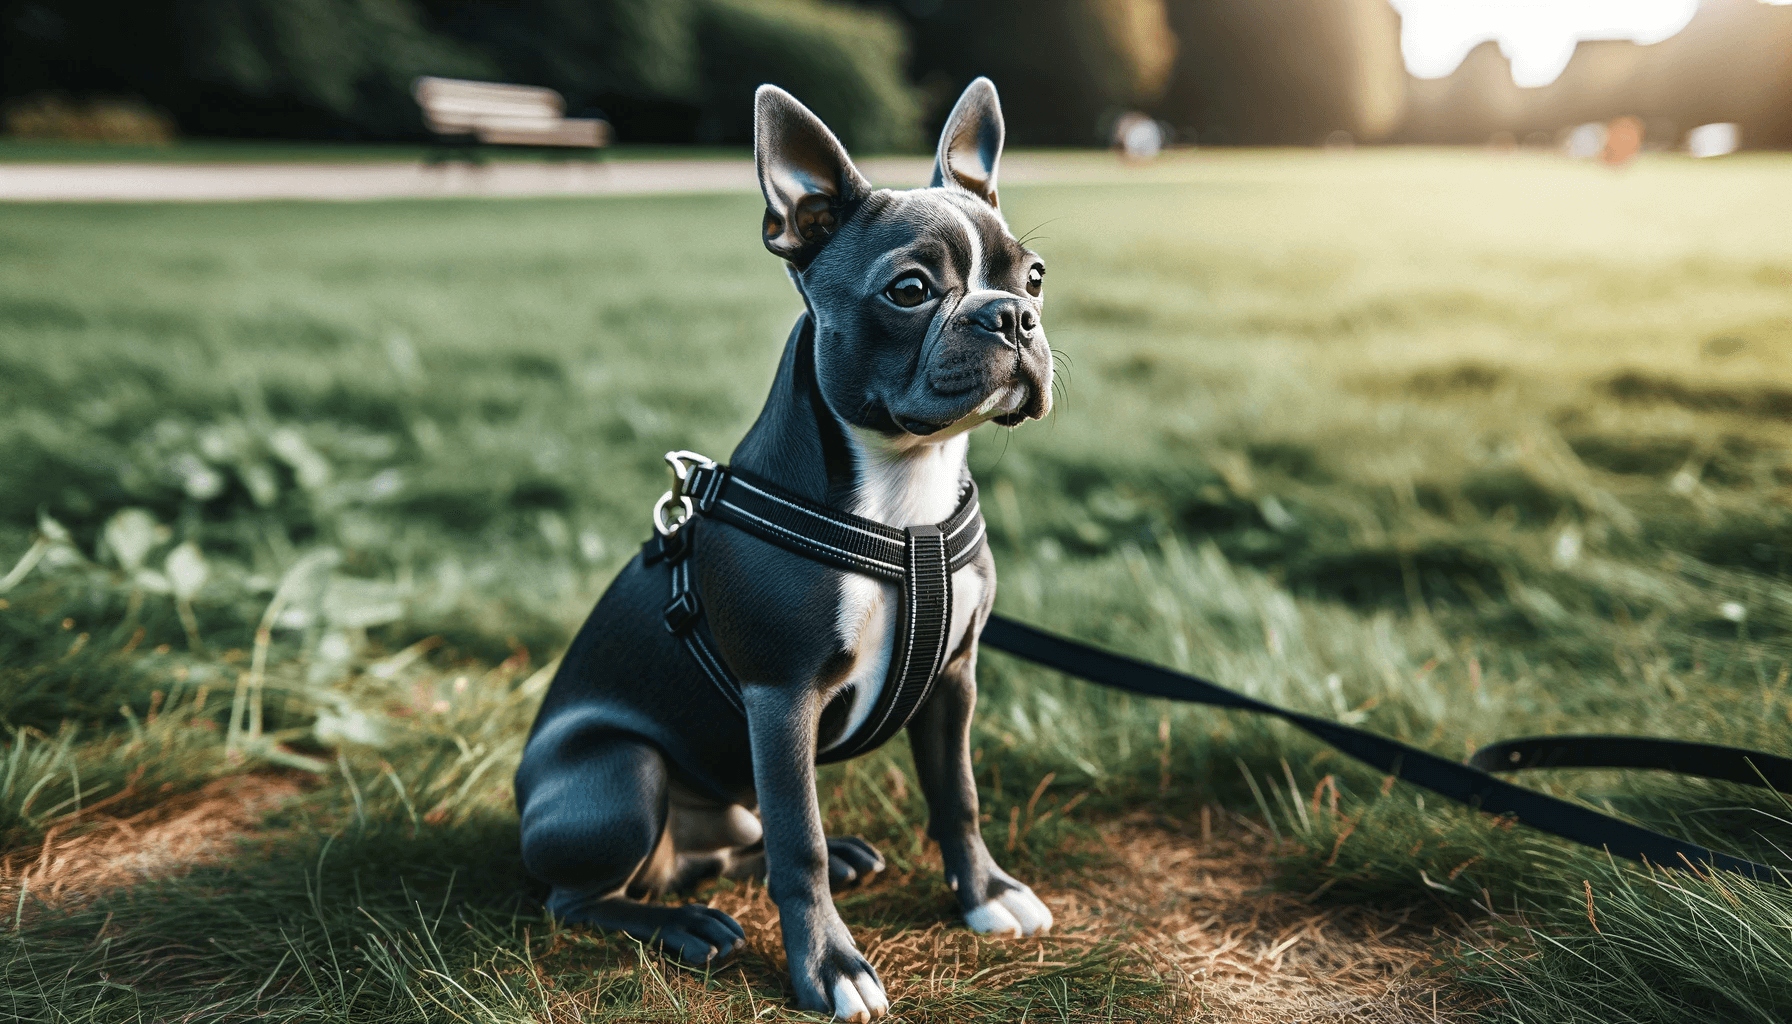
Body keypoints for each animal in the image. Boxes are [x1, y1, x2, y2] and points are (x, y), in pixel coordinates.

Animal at [516, 76, 1046, 1018]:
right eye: (910, 289)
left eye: (1035, 278)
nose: (1013, 315)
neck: (903, 500)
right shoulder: (780, 698)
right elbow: (801, 844)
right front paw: (830, 969)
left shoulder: (953, 678)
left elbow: (958, 795)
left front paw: (985, 896)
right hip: (617, 774)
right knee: (579, 897)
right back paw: (684, 925)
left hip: (715, 798)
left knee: (737, 840)